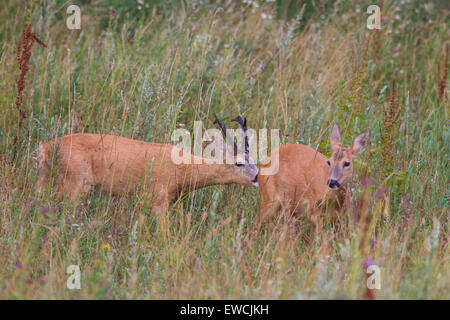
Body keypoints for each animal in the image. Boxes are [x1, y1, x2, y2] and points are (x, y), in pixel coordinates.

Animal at [37, 114, 258, 214]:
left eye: (255, 161)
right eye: (239, 163)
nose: (257, 177)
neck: (184, 168)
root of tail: (47, 147)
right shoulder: (157, 200)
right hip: (75, 184)